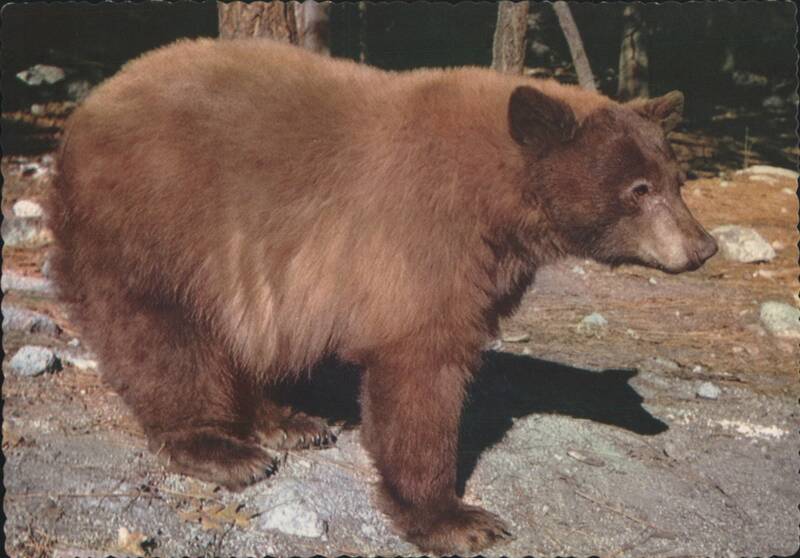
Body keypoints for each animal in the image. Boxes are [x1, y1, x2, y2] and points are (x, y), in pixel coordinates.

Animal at [48, 38, 717, 554]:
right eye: (638, 189)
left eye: (676, 180)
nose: (703, 246)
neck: (499, 199)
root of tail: (88, 108)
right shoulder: (421, 238)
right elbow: (421, 369)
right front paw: (456, 519)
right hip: (155, 225)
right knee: (162, 339)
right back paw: (221, 447)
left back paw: (286, 420)